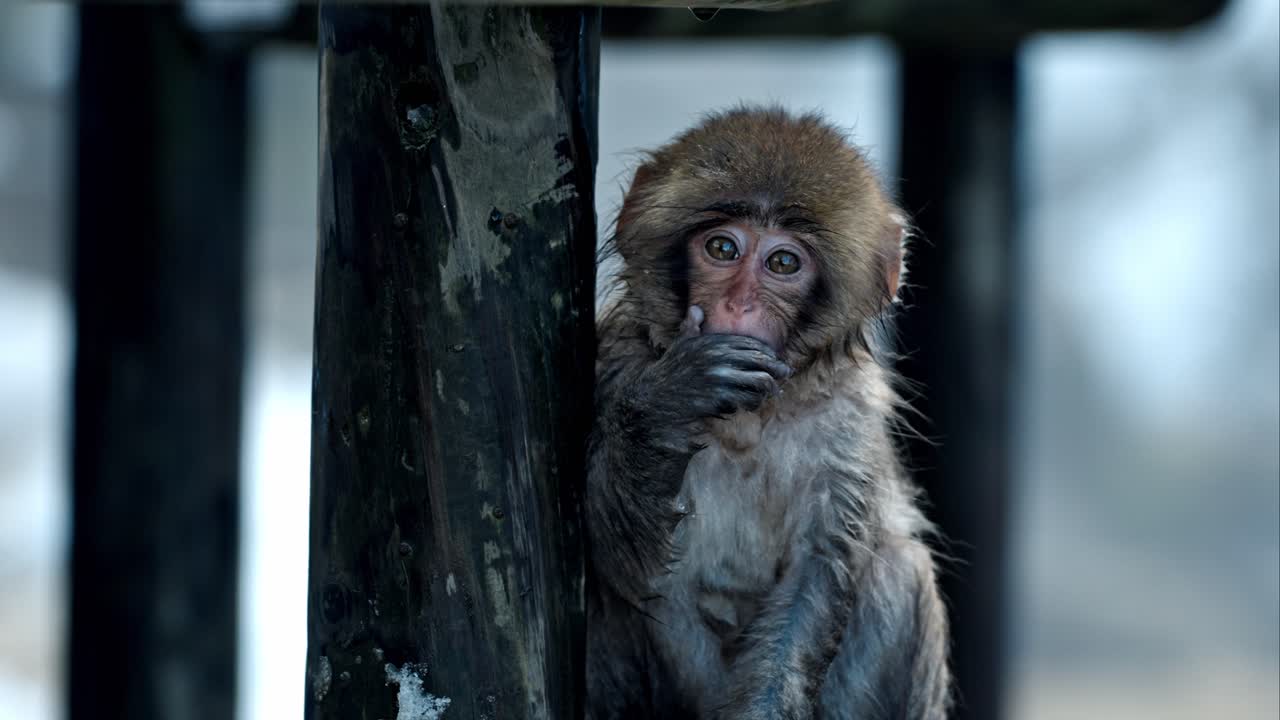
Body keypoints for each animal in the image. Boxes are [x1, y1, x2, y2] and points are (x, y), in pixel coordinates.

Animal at [584, 106, 950, 720]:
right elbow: (621, 564)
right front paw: (674, 399)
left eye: (782, 262)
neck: (748, 421)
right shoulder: (613, 367)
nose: (738, 306)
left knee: (902, 570)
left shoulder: (847, 421)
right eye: (723, 249)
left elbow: (816, 571)